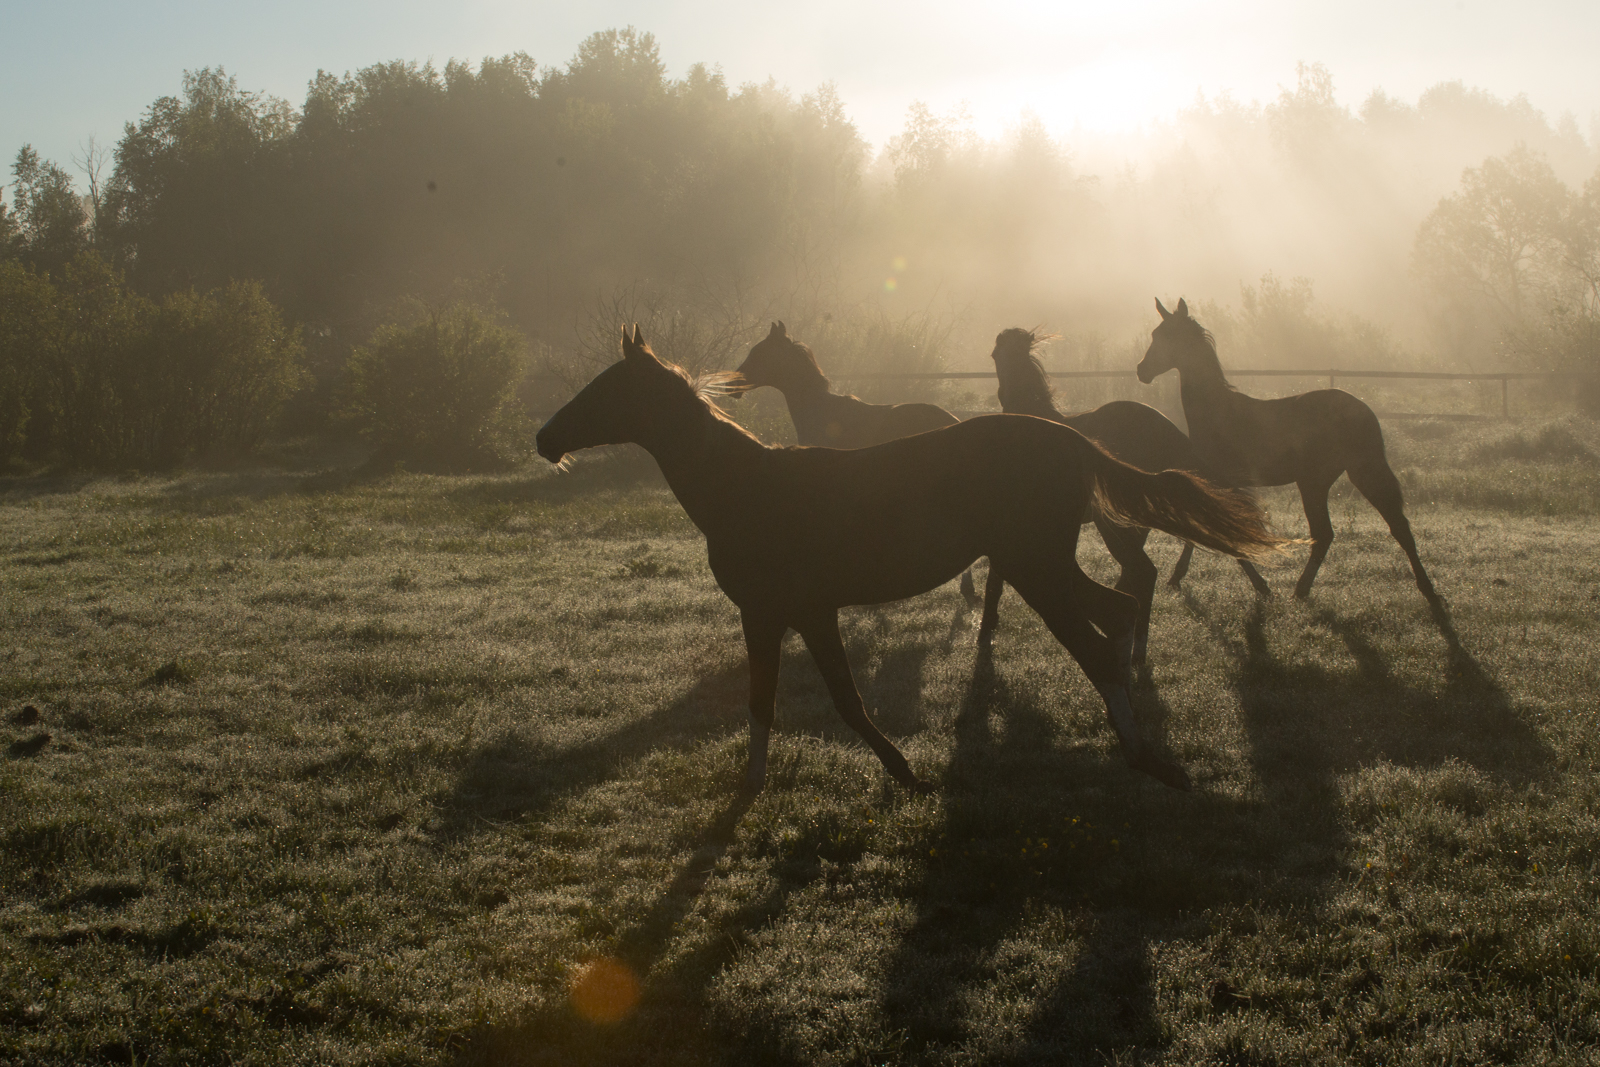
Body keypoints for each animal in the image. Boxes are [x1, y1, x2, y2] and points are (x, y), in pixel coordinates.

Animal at [537, 329, 1286, 796]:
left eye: (606, 389)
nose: (544, 438)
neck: (748, 486)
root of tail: (1073, 440)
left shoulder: (807, 610)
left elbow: (845, 698)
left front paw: (903, 772)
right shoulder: (767, 615)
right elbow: (761, 699)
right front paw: (749, 785)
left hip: (1038, 567)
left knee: (1103, 640)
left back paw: (1145, 755)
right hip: (1048, 566)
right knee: (1124, 607)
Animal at [1139, 295, 1440, 604]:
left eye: (1166, 336)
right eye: (1155, 334)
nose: (1142, 371)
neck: (1216, 412)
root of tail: (1364, 410)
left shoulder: (1223, 481)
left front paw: (1261, 586)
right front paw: (1177, 578)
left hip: (1332, 478)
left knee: (1357, 530)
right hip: (1332, 480)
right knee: (1357, 531)